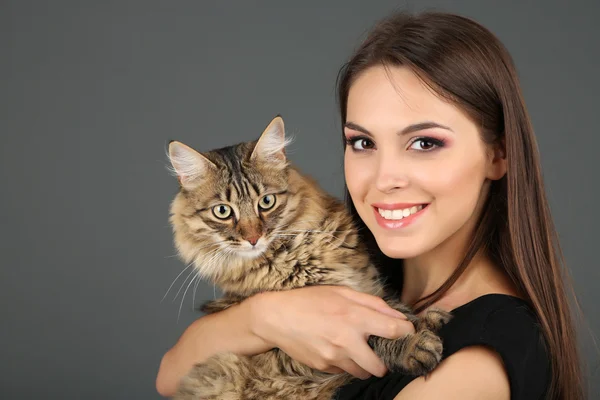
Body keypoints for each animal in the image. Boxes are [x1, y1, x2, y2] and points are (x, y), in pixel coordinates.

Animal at [165, 116, 450, 400]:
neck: (301, 250)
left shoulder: (368, 286)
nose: (253, 238)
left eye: (266, 202)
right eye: (222, 211)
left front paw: (427, 319)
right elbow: (374, 333)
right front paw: (413, 345)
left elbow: (394, 309)